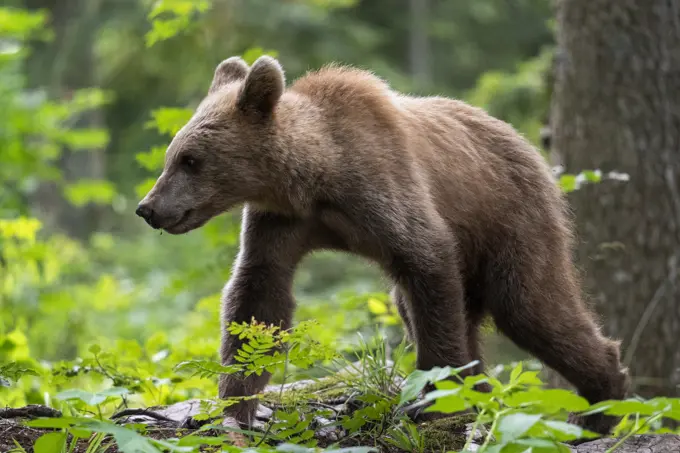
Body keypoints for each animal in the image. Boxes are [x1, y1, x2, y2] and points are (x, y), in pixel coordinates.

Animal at [135, 54, 628, 436]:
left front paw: (434, 402)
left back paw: (600, 405)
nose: (149, 208)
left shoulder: (384, 188)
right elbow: (258, 298)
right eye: (172, 155)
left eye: (190, 160)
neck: (317, 176)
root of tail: (529, 146)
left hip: (511, 219)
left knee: (530, 306)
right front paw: (232, 410)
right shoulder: (281, 223)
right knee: (435, 309)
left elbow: (427, 262)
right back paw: (486, 392)